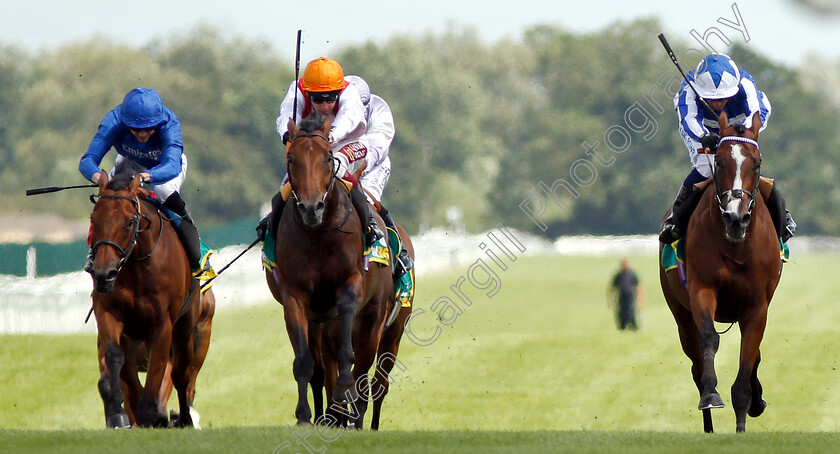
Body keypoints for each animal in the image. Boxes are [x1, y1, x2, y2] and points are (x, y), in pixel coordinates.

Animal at [87, 172, 212, 428]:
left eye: (129, 221)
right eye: (94, 219)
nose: (104, 274)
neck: (136, 266)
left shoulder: (163, 323)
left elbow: (158, 368)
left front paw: (150, 415)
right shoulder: (110, 313)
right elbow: (116, 360)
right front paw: (117, 412)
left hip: (187, 326)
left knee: (181, 374)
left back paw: (184, 418)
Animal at [262, 115, 394, 428]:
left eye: (327, 158)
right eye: (292, 159)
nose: (311, 208)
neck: (319, 234)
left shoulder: (352, 282)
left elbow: (347, 340)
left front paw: (344, 386)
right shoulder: (295, 296)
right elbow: (305, 363)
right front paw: (303, 415)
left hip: (376, 318)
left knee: (368, 371)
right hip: (318, 320)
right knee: (322, 369)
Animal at [660, 111, 784, 430]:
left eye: (757, 162)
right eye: (719, 162)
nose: (735, 218)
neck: (736, 246)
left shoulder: (757, 306)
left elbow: (749, 355)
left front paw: (746, 412)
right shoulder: (702, 289)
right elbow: (709, 339)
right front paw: (711, 395)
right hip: (680, 315)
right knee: (695, 361)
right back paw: (708, 422)